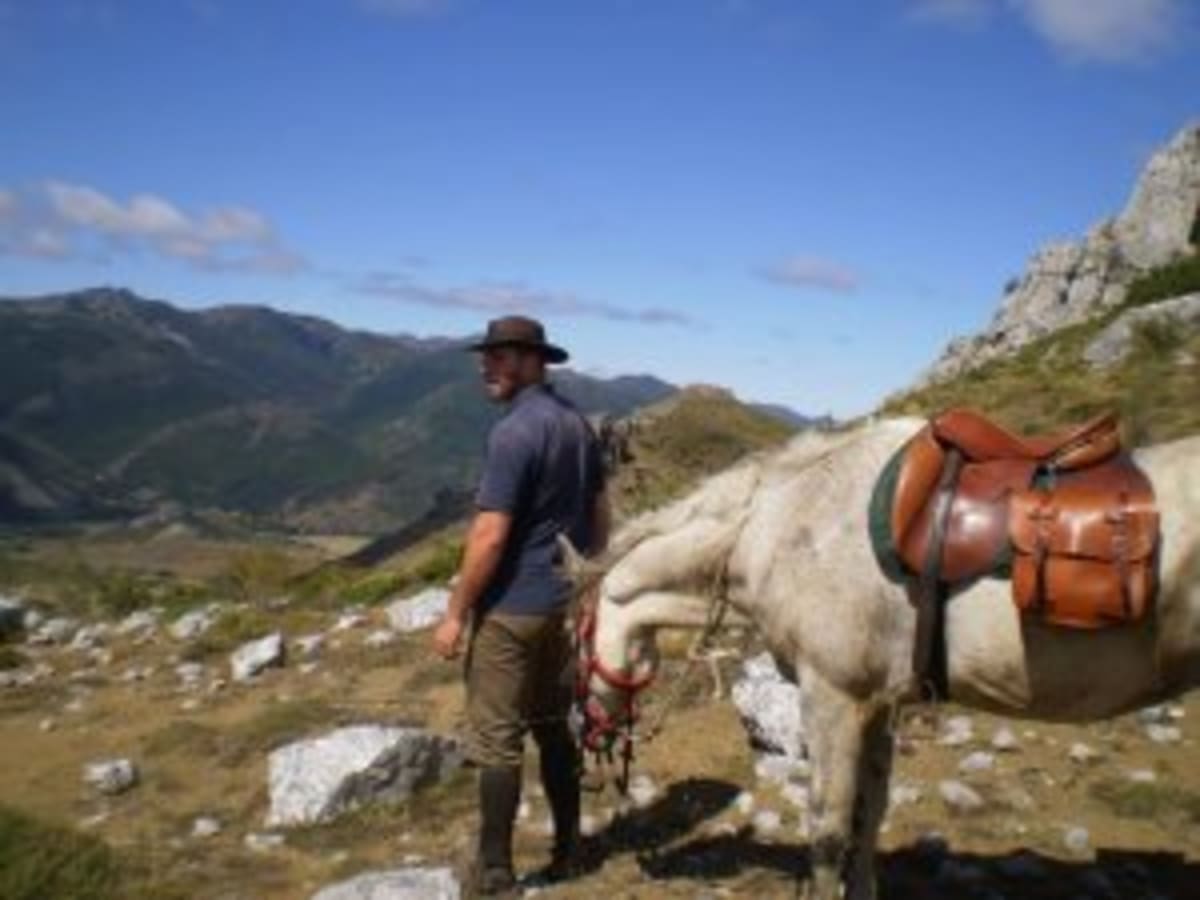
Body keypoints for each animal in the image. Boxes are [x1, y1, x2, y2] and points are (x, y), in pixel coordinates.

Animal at [560, 417, 1200, 899]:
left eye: (570, 640)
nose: (581, 727)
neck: (781, 528)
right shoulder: (879, 703)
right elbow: (869, 817)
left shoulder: (832, 697)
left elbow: (829, 830)